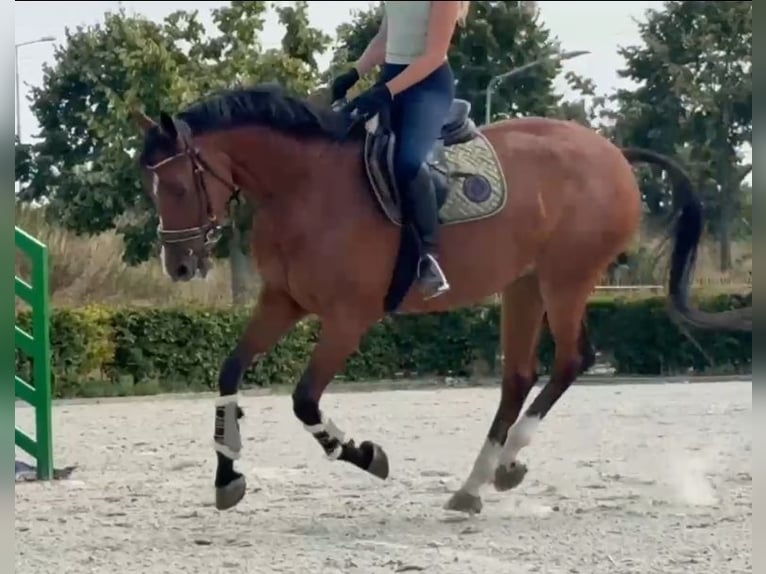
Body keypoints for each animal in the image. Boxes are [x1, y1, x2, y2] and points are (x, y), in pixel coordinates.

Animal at [132, 82, 751, 514]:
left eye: (180, 186)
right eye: (152, 188)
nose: (179, 265)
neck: (303, 186)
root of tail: (614, 154)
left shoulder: (348, 317)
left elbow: (305, 400)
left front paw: (366, 455)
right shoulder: (282, 301)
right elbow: (229, 374)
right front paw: (228, 476)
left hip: (566, 277)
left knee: (574, 359)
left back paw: (506, 461)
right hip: (524, 284)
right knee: (519, 376)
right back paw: (477, 483)